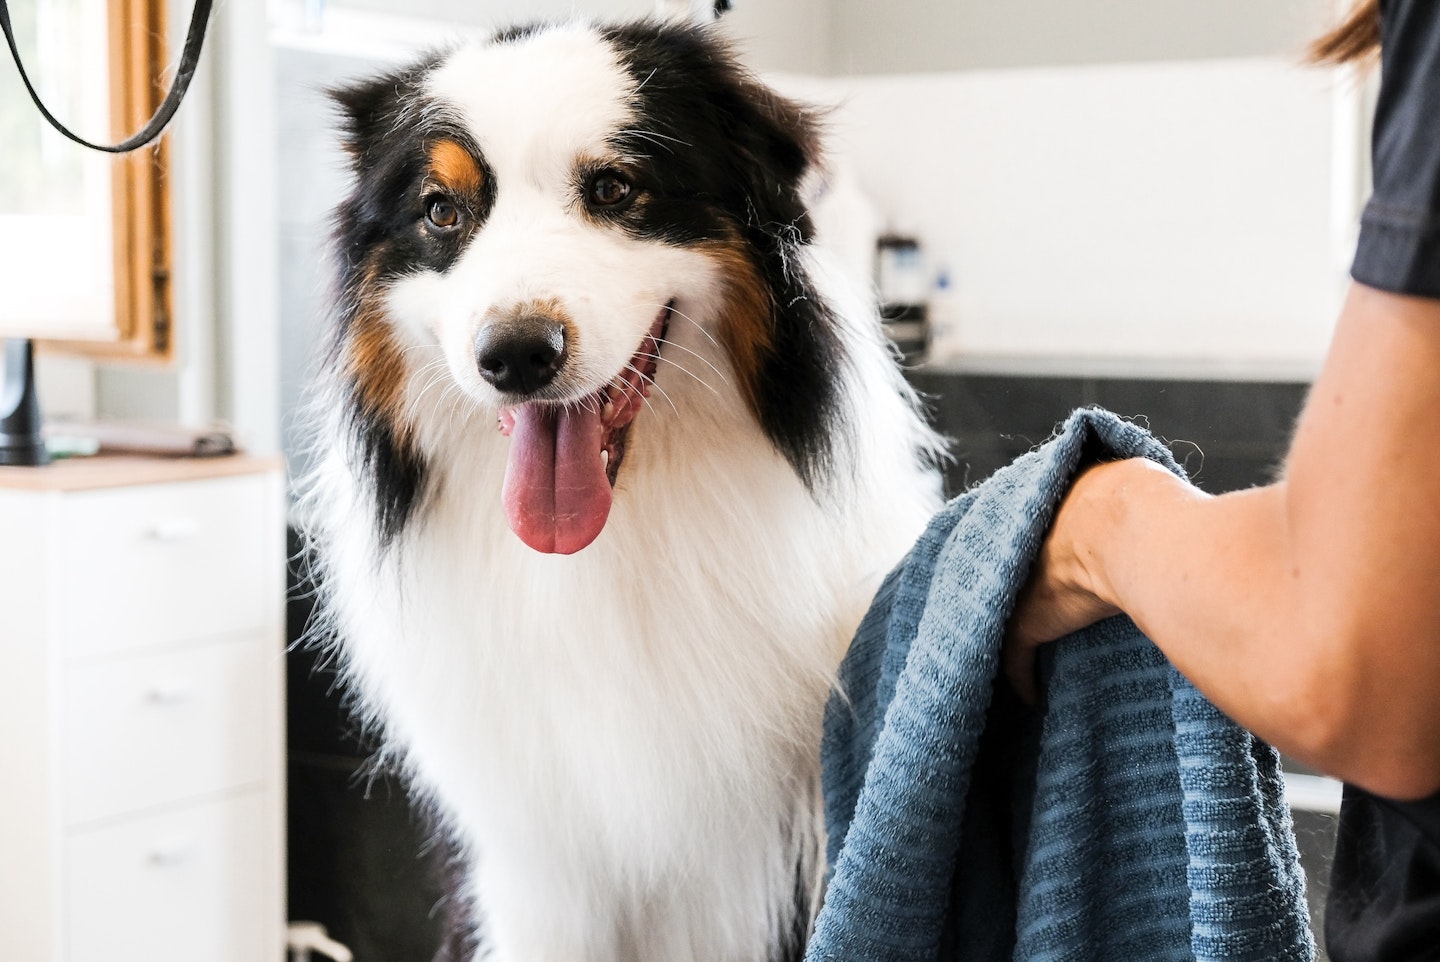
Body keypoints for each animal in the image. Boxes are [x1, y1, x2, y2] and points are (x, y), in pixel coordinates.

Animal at [299, 16, 950, 962]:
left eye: (614, 188)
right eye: (441, 210)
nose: (515, 356)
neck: (613, 544)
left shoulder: (756, 870)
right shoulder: (531, 872)